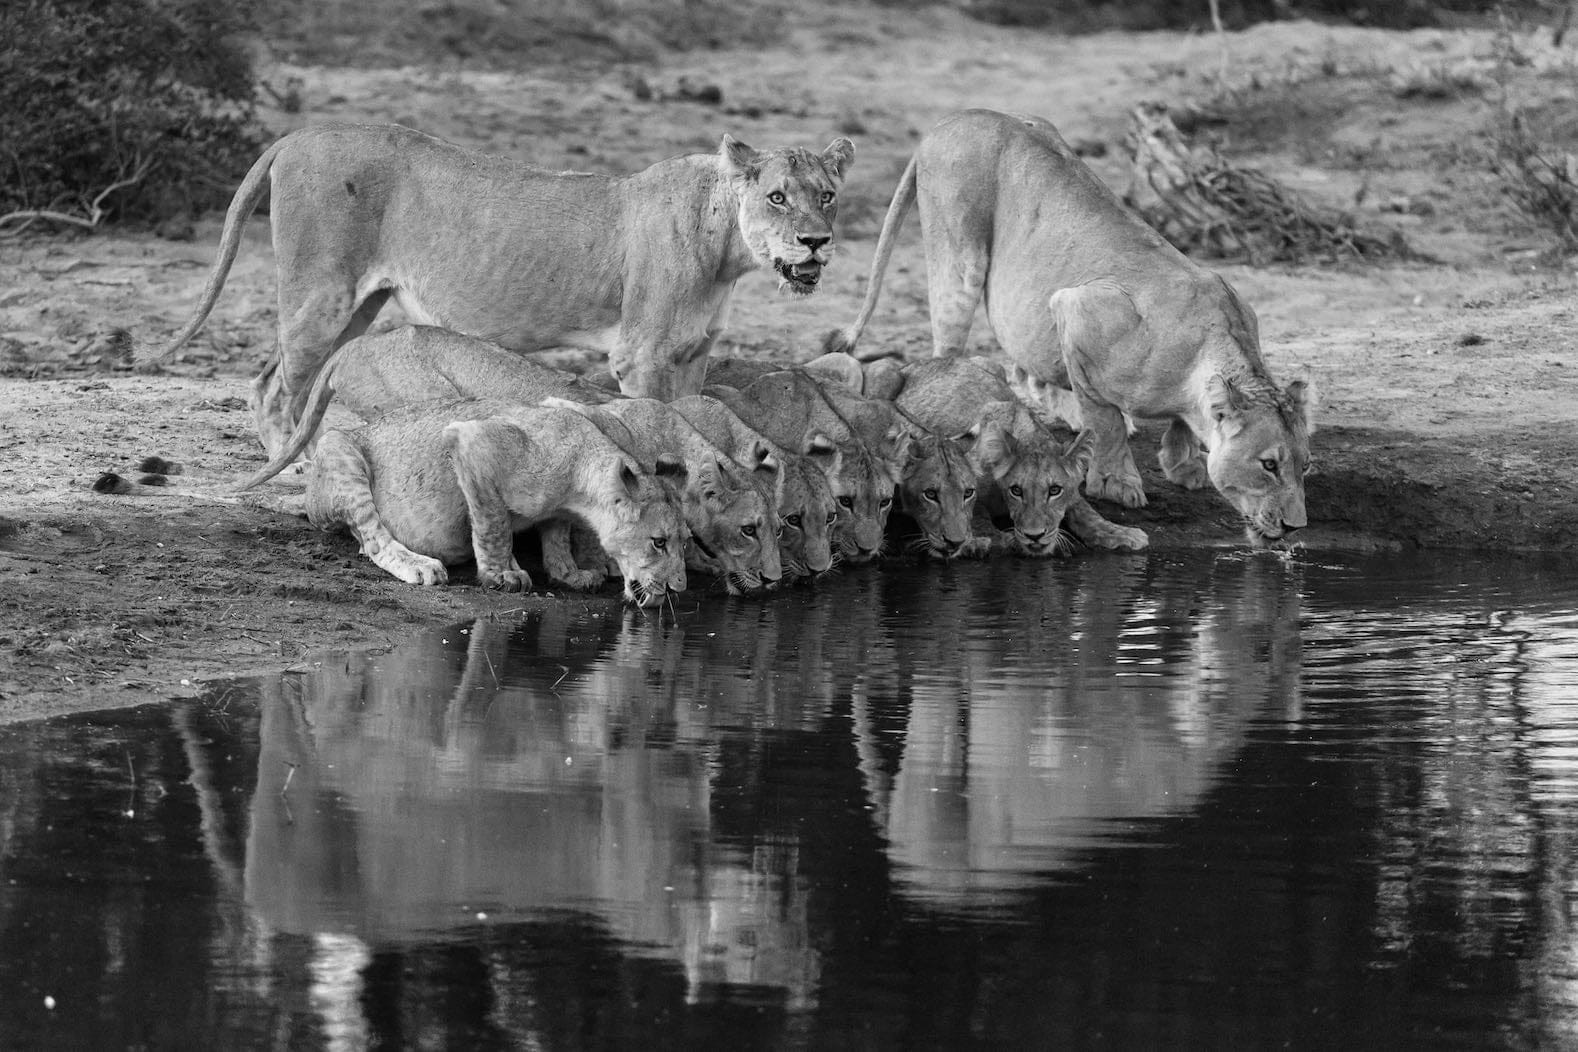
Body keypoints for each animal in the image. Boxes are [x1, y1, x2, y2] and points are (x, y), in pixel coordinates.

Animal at [143, 121, 855, 457]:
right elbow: (660, 427)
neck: (727, 251)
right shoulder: (643, 356)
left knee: (271, 379)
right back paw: (296, 471)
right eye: (777, 196)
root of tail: (297, 134)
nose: (816, 242)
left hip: (357, 304)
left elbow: (696, 422)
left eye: (826, 196)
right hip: (321, 293)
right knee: (277, 389)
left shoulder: (692, 355)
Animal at [303, 398, 687, 606]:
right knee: (374, 538)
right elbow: (493, 524)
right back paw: (419, 565)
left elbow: (557, 534)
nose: (678, 588)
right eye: (658, 542)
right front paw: (501, 575)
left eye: (685, 541)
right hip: (339, 449)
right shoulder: (473, 441)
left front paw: (569, 574)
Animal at [824, 108, 1311, 545]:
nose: (1295, 527)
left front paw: (1183, 464)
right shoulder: (1079, 306)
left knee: (1027, 366)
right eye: (1268, 465)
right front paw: (1117, 481)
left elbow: (1176, 423)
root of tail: (954, 117)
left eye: (1304, 465)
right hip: (959, 257)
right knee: (948, 348)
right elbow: (1105, 419)